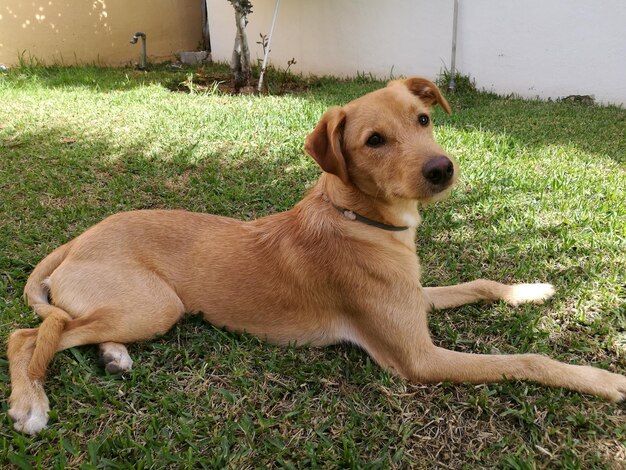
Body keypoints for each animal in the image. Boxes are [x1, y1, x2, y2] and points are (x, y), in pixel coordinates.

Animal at [6, 77, 624, 434]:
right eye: (374, 141)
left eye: (424, 120)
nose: (442, 169)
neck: (362, 221)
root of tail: (79, 238)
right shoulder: (418, 359)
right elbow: (529, 360)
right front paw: (603, 379)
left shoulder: (414, 300)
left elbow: (479, 284)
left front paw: (532, 290)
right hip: (155, 304)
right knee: (30, 336)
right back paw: (30, 402)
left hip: (139, 310)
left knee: (67, 327)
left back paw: (114, 355)